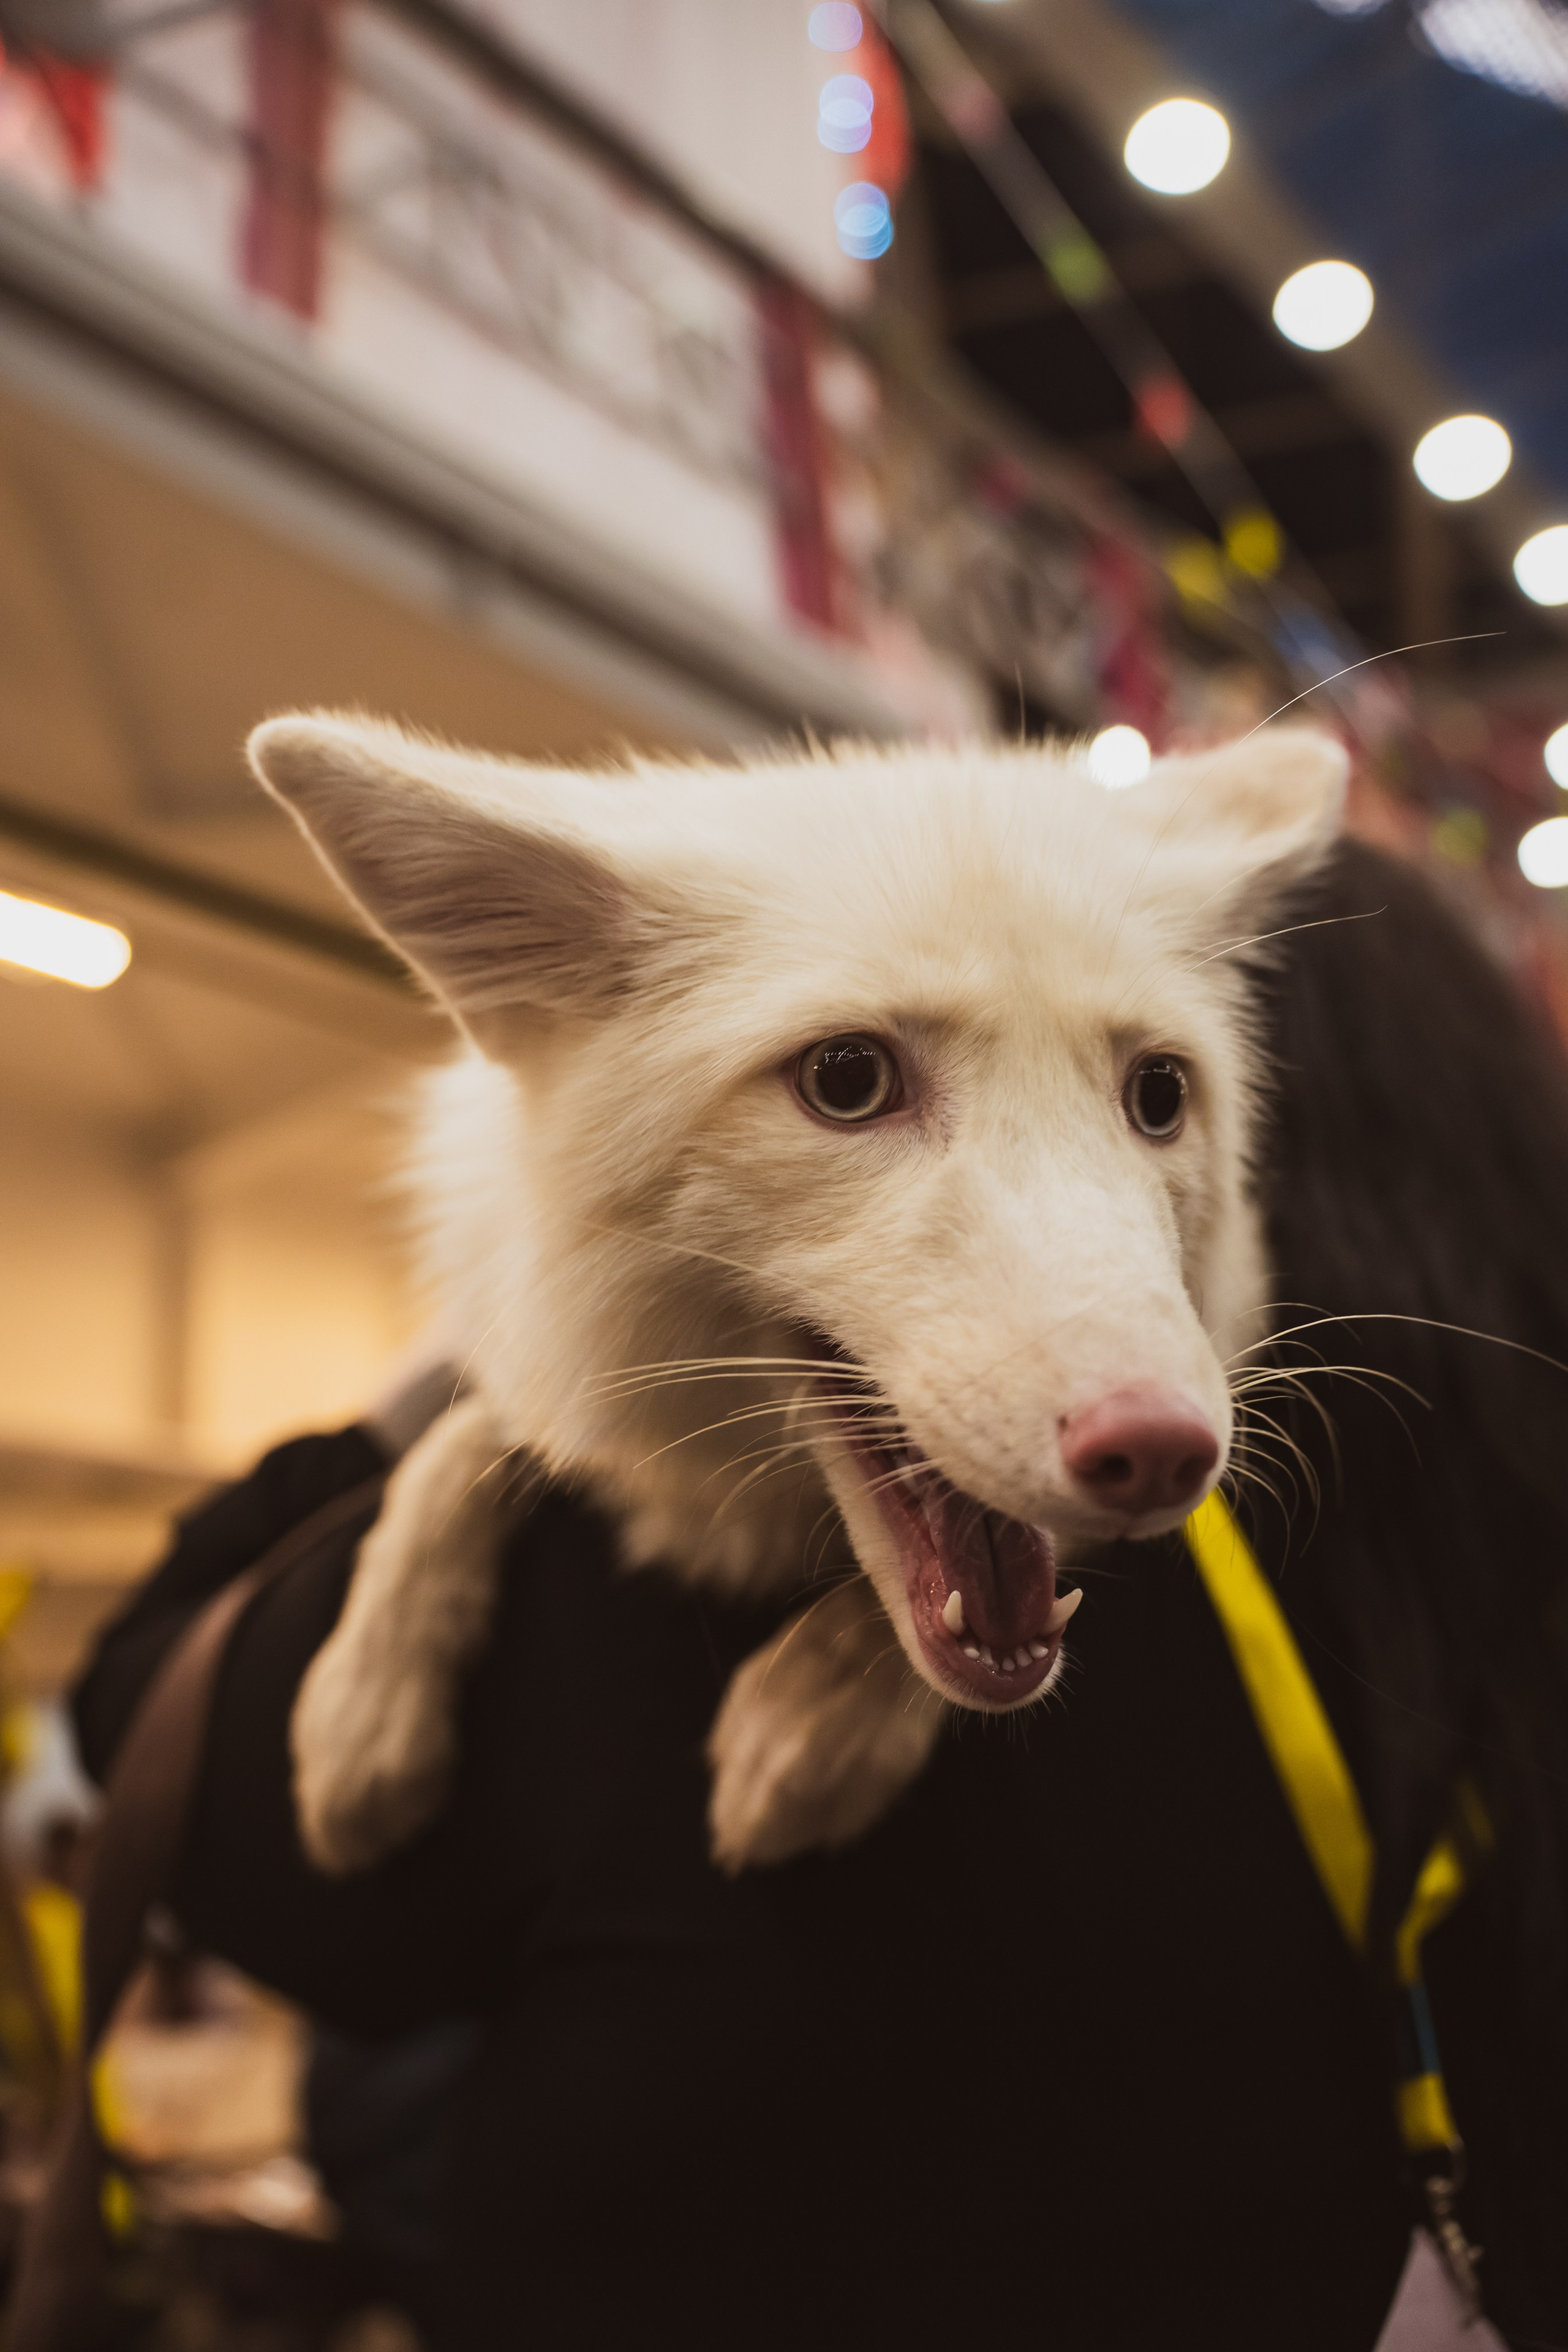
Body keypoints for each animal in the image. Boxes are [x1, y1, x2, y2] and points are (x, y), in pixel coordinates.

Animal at [246, 714, 1346, 1876]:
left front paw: (827, 1707)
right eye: (848, 1080)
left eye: (1160, 1096)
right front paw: (363, 1712)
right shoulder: (537, 1332)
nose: (1165, 1455)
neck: (738, 1488)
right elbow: (449, 1456)